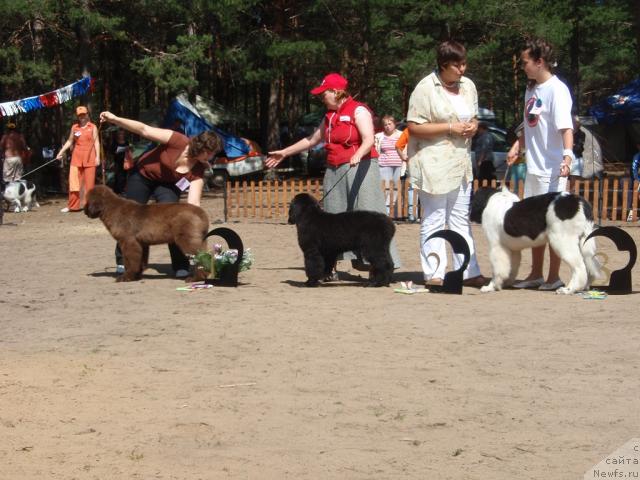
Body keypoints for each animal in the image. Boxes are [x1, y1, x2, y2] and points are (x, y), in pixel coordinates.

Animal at [470, 188, 600, 294]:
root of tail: (578, 201)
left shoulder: (496, 247)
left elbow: (498, 269)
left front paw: (491, 286)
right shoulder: (513, 249)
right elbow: (511, 268)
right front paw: (505, 282)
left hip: (562, 241)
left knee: (579, 267)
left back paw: (569, 289)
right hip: (584, 241)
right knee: (591, 265)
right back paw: (584, 286)